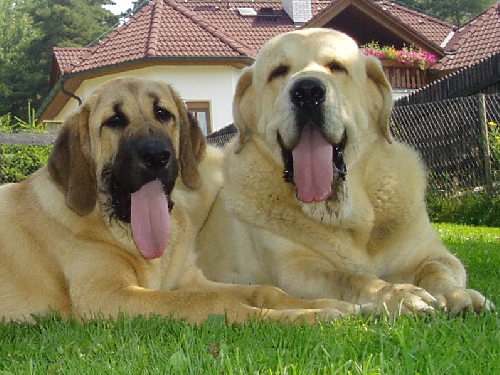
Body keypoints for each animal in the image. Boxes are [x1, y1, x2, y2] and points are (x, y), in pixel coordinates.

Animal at [0, 77, 362, 326]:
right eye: (113, 121)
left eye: (163, 113)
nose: (157, 156)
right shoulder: (105, 295)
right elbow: (213, 303)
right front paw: (312, 316)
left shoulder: (187, 280)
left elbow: (265, 290)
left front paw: (333, 304)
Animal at [197, 30, 494, 318]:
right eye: (278, 71)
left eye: (337, 66)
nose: (307, 91)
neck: (346, 215)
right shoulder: (296, 267)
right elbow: (351, 278)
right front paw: (397, 294)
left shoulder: (431, 252)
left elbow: (438, 268)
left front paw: (458, 294)